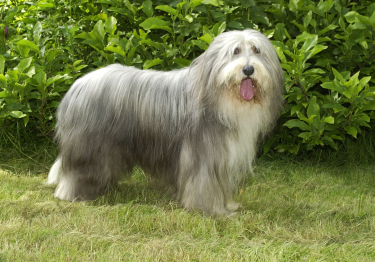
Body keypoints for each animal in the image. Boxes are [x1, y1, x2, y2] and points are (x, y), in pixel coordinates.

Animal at [47, 29, 284, 216]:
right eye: (235, 51)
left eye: (257, 51)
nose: (248, 70)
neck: (221, 101)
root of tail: (77, 85)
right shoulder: (203, 156)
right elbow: (203, 185)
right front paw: (212, 211)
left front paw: (229, 206)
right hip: (89, 146)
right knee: (78, 172)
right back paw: (74, 195)